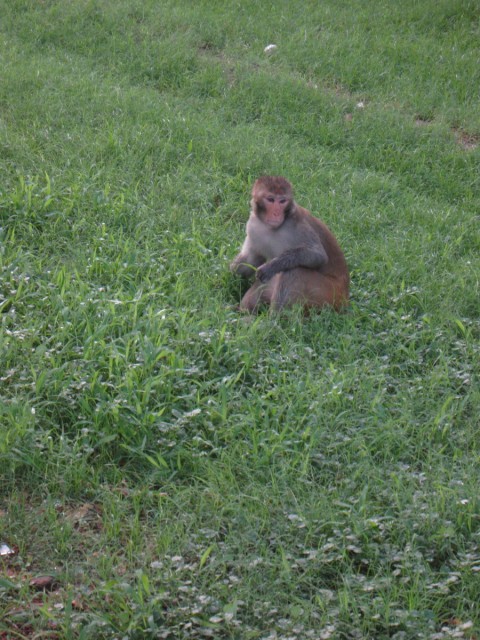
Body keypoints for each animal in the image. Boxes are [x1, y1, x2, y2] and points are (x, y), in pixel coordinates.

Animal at [230, 176, 349, 313]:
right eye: (270, 199)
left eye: (282, 201)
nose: (276, 213)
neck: (271, 228)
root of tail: (345, 298)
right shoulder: (253, 227)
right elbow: (250, 258)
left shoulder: (297, 224)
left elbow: (318, 255)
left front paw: (271, 266)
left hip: (328, 296)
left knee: (295, 270)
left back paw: (274, 317)